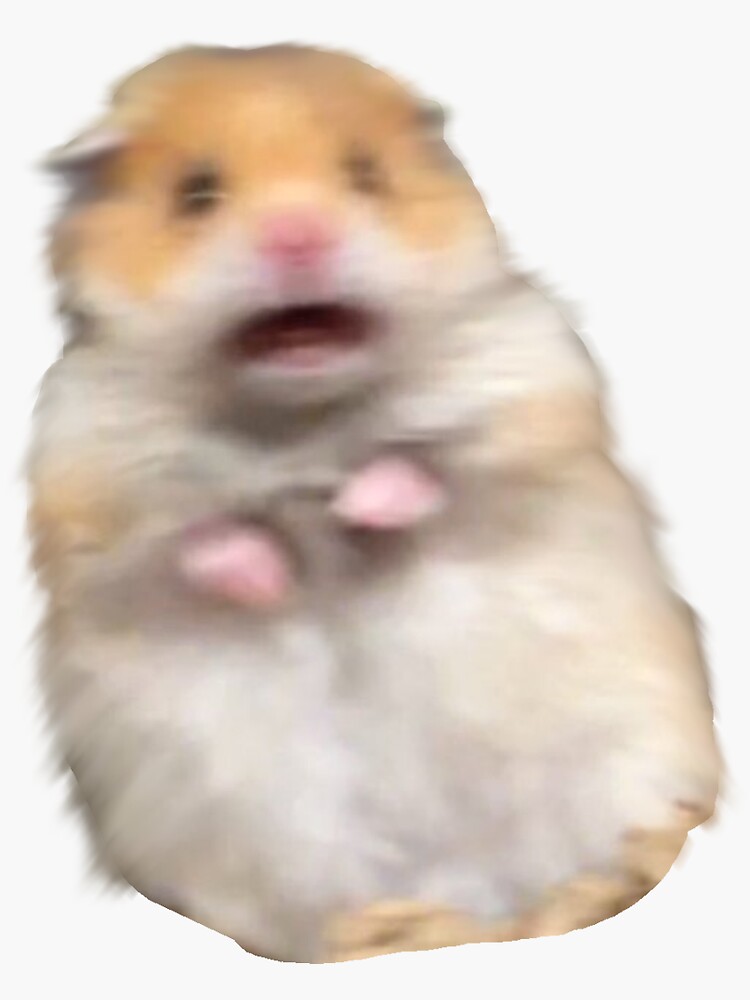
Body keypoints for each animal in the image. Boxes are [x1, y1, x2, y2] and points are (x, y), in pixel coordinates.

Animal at [28, 45, 721, 962]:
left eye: (367, 175)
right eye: (196, 194)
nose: (300, 237)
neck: (302, 414)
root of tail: (463, 895)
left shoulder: (532, 395)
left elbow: (432, 469)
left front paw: (357, 511)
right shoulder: (87, 489)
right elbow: (199, 538)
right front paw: (273, 577)